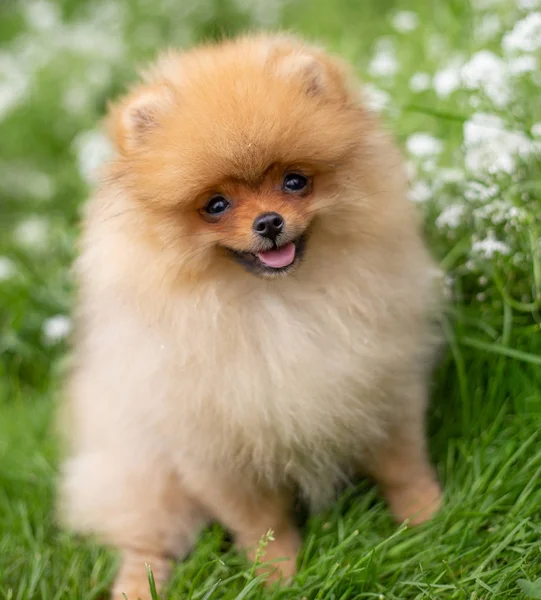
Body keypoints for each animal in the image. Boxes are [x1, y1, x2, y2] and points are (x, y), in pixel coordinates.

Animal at [61, 34, 442, 600]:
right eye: (216, 205)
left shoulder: (381, 386)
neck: (276, 304)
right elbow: (260, 521)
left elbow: (402, 462)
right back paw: (137, 586)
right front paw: (278, 574)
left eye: (295, 181)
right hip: (143, 473)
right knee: (146, 540)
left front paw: (427, 516)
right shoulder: (217, 448)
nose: (268, 222)